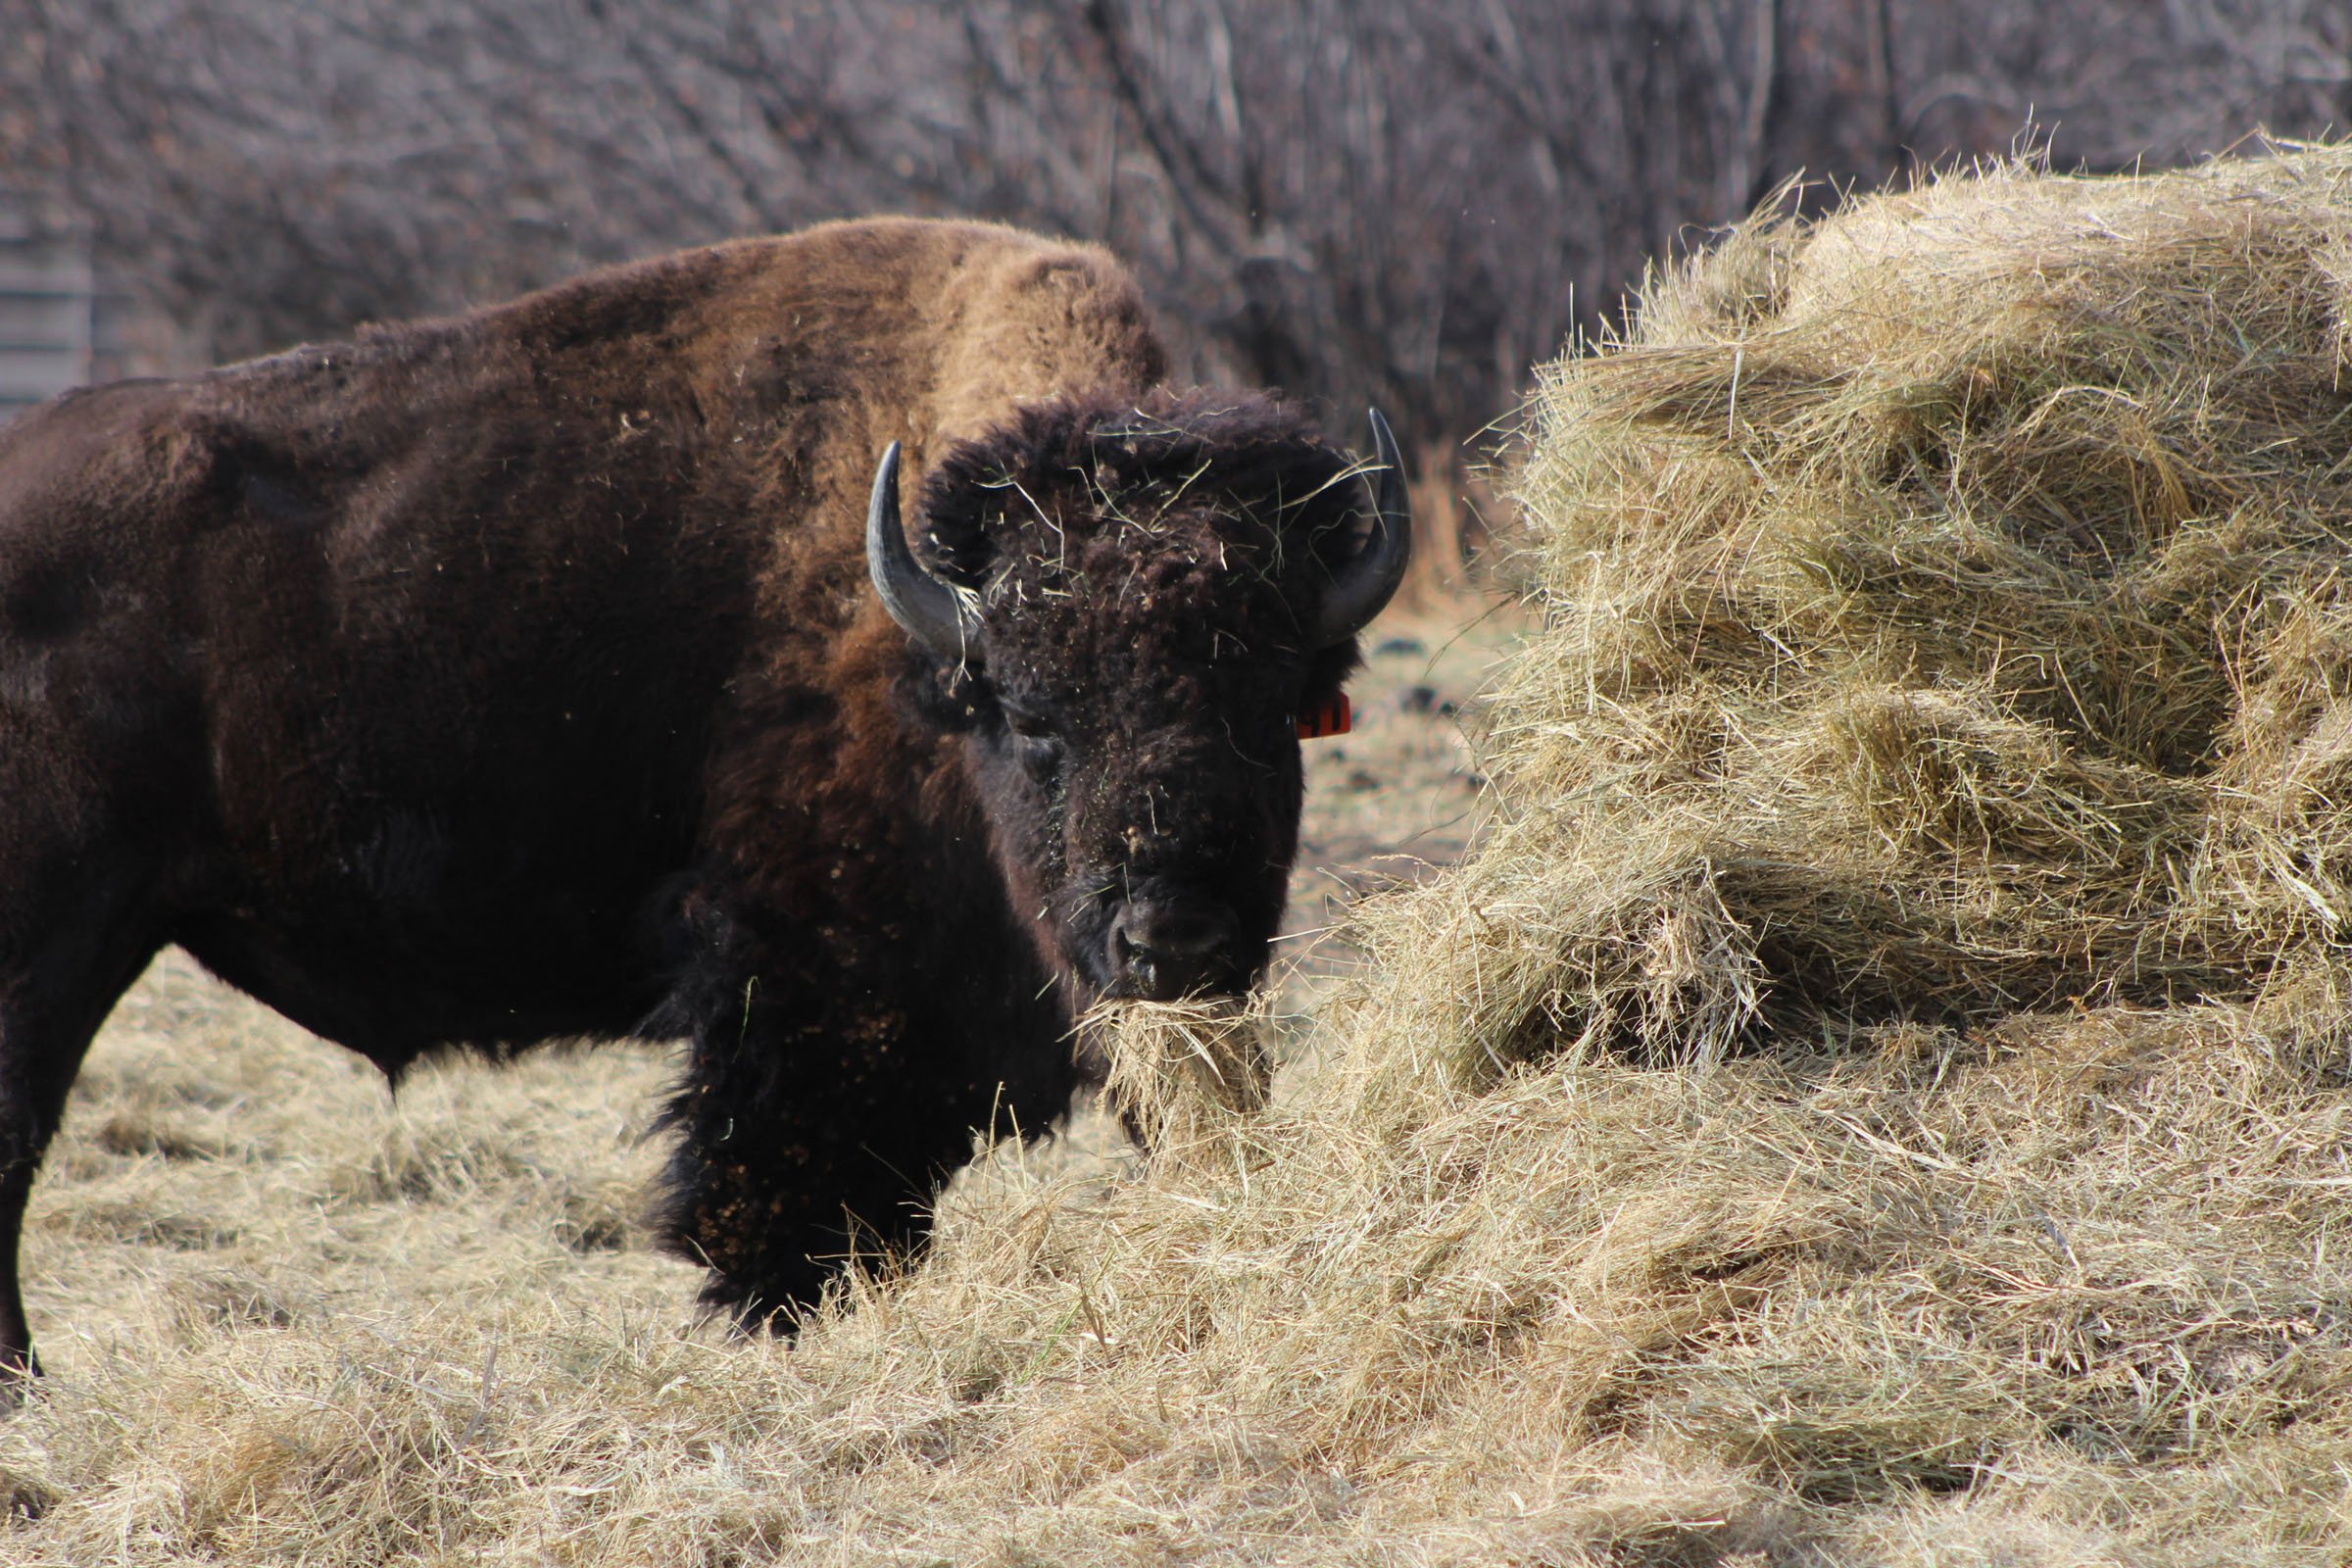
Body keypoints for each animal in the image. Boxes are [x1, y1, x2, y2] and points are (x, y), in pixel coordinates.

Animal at [0, 217, 1408, 1379]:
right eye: (1028, 715)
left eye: (1279, 707)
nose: (1174, 937)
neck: (920, 636)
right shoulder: (803, 983)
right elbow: (786, 1184)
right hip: (57, 939)